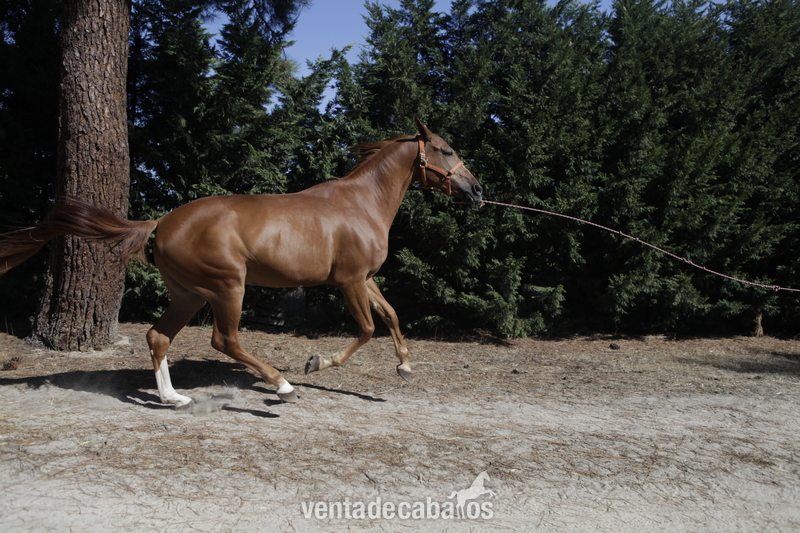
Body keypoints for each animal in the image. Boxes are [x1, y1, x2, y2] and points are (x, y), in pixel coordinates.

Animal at [0, 120, 483, 408]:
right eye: (444, 149)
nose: (477, 190)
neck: (361, 203)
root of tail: (163, 221)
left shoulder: (365, 279)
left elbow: (393, 315)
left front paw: (404, 366)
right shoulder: (348, 281)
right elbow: (366, 329)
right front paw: (314, 364)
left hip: (190, 294)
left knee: (159, 337)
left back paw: (174, 398)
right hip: (228, 287)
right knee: (224, 340)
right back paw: (281, 385)